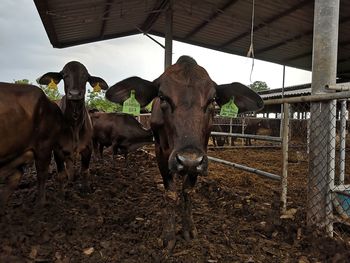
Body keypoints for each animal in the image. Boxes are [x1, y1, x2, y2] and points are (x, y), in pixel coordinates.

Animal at [37, 63, 108, 193]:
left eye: (85, 76)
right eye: (64, 75)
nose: (74, 94)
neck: (74, 124)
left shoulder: (87, 147)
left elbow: (85, 171)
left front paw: (85, 189)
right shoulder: (58, 150)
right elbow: (61, 175)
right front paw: (62, 194)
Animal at [105, 55, 264, 252]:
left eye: (212, 100)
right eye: (162, 97)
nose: (187, 160)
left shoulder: (201, 156)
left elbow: (188, 191)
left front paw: (189, 229)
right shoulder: (161, 153)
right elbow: (171, 193)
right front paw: (168, 235)